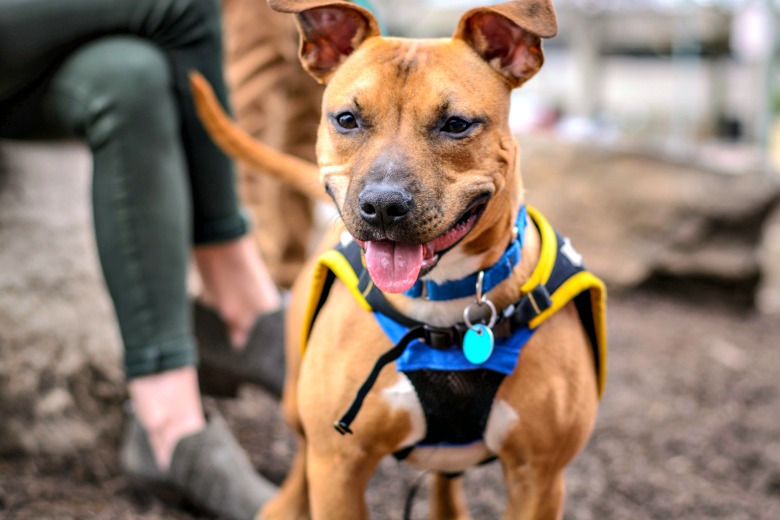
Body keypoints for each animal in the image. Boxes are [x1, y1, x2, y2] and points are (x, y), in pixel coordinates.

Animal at [192, 2, 608, 516]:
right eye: (347, 119)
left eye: (456, 124)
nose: (384, 205)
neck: (443, 302)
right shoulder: (339, 467)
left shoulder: (541, 477)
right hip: (298, 408)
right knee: (302, 456)